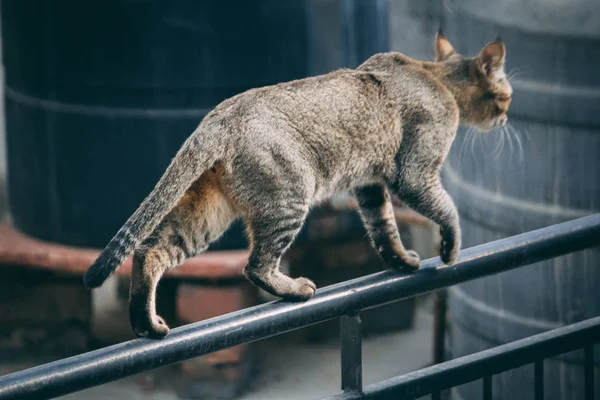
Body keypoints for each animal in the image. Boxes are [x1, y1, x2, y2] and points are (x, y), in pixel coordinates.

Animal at [83, 32, 510, 338]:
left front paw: (400, 261)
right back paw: (295, 288)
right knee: (255, 266)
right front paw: (450, 248)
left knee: (148, 250)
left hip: (207, 213)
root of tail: (218, 117)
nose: (506, 117)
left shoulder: (369, 185)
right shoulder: (413, 174)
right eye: (506, 95)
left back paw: (146, 324)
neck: (433, 76)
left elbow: (384, 228)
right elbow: (446, 209)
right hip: (289, 198)